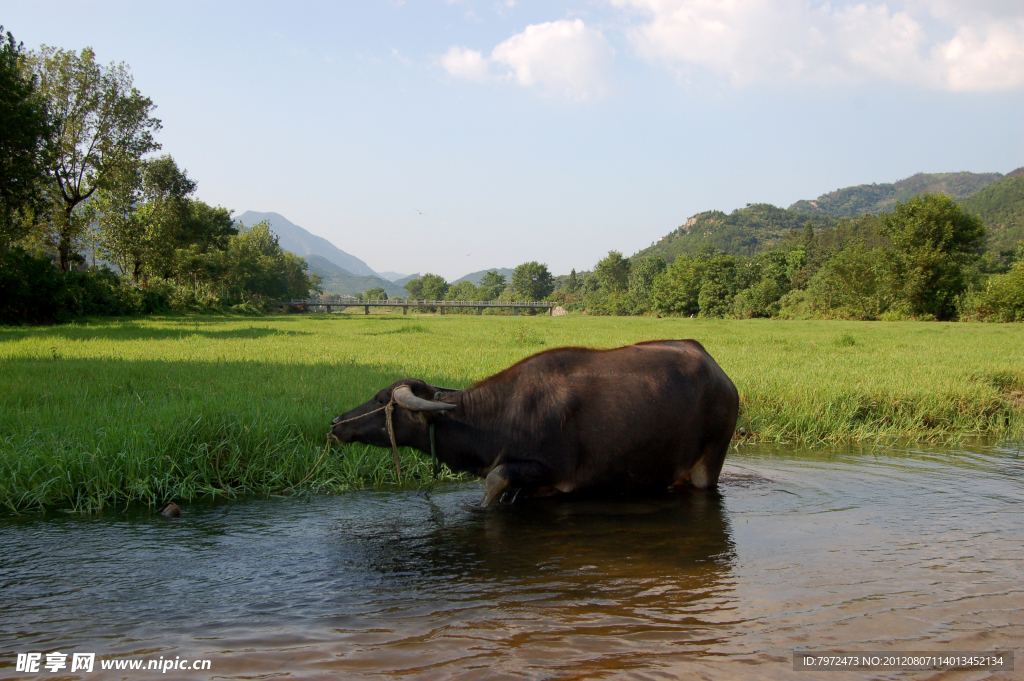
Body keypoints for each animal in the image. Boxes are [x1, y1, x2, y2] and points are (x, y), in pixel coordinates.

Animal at [331, 339, 741, 503]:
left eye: (382, 400)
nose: (336, 423)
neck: (497, 417)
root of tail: (721, 374)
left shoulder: (552, 470)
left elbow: (496, 480)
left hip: (711, 460)